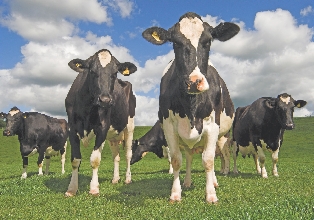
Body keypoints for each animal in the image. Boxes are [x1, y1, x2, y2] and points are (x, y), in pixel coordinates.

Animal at [64, 48, 137, 196]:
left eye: (114, 73)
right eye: (91, 71)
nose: (105, 100)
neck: (86, 108)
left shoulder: (102, 128)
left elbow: (95, 159)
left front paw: (94, 188)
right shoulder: (72, 129)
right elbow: (75, 160)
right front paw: (72, 189)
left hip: (129, 126)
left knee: (128, 154)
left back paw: (127, 179)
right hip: (112, 136)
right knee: (116, 156)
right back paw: (115, 179)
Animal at [141, 11, 239, 202]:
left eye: (208, 41)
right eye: (175, 42)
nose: (194, 82)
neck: (191, 107)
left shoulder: (213, 125)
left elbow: (208, 160)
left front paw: (211, 195)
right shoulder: (169, 126)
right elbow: (177, 160)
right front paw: (175, 193)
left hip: (222, 136)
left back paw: (214, 181)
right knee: (188, 156)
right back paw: (187, 182)